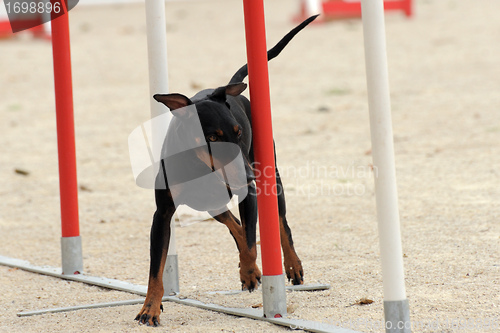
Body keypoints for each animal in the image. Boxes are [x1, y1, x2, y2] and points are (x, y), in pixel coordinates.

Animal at [136, 14, 316, 324]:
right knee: (233, 223)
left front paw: (251, 271)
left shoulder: (250, 195)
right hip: (209, 203)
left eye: (238, 132)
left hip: (271, 177)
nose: (248, 176)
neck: (199, 165)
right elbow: (155, 271)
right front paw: (149, 308)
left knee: (280, 224)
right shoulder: (162, 214)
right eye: (212, 137)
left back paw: (290, 266)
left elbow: (252, 243)